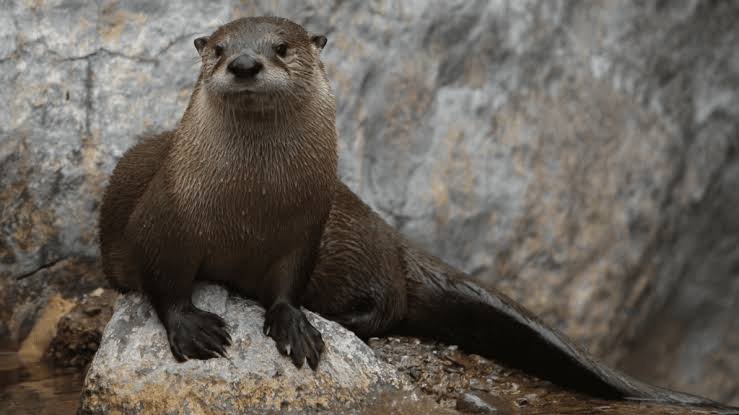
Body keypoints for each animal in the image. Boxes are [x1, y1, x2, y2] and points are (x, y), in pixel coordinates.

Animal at [99, 17, 738, 412]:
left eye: (283, 47)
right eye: (218, 49)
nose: (246, 64)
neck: (249, 204)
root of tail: (393, 235)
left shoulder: (304, 230)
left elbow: (286, 286)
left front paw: (294, 325)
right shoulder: (164, 218)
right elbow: (161, 279)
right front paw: (192, 326)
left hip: (361, 245)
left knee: (390, 305)